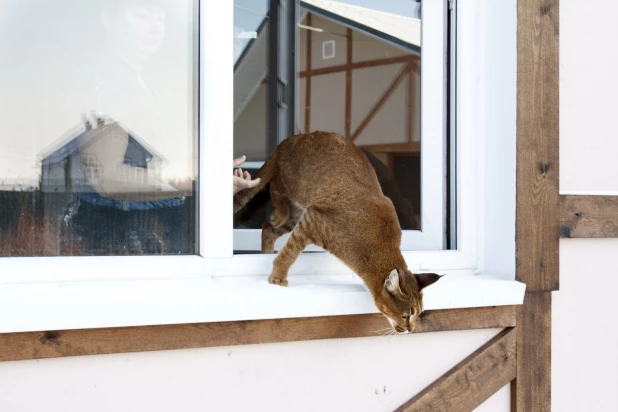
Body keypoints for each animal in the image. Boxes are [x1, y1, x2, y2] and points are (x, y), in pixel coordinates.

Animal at [231, 132, 438, 334]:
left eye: (419, 314)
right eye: (406, 315)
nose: (411, 329)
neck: (377, 247)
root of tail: (288, 140)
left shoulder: (307, 220)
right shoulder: (312, 221)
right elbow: (289, 253)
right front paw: (278, 277)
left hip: (295, 214)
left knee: (267, 228)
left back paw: (267, 247)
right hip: (297, 186)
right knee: (275, 188)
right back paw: (279, 213)